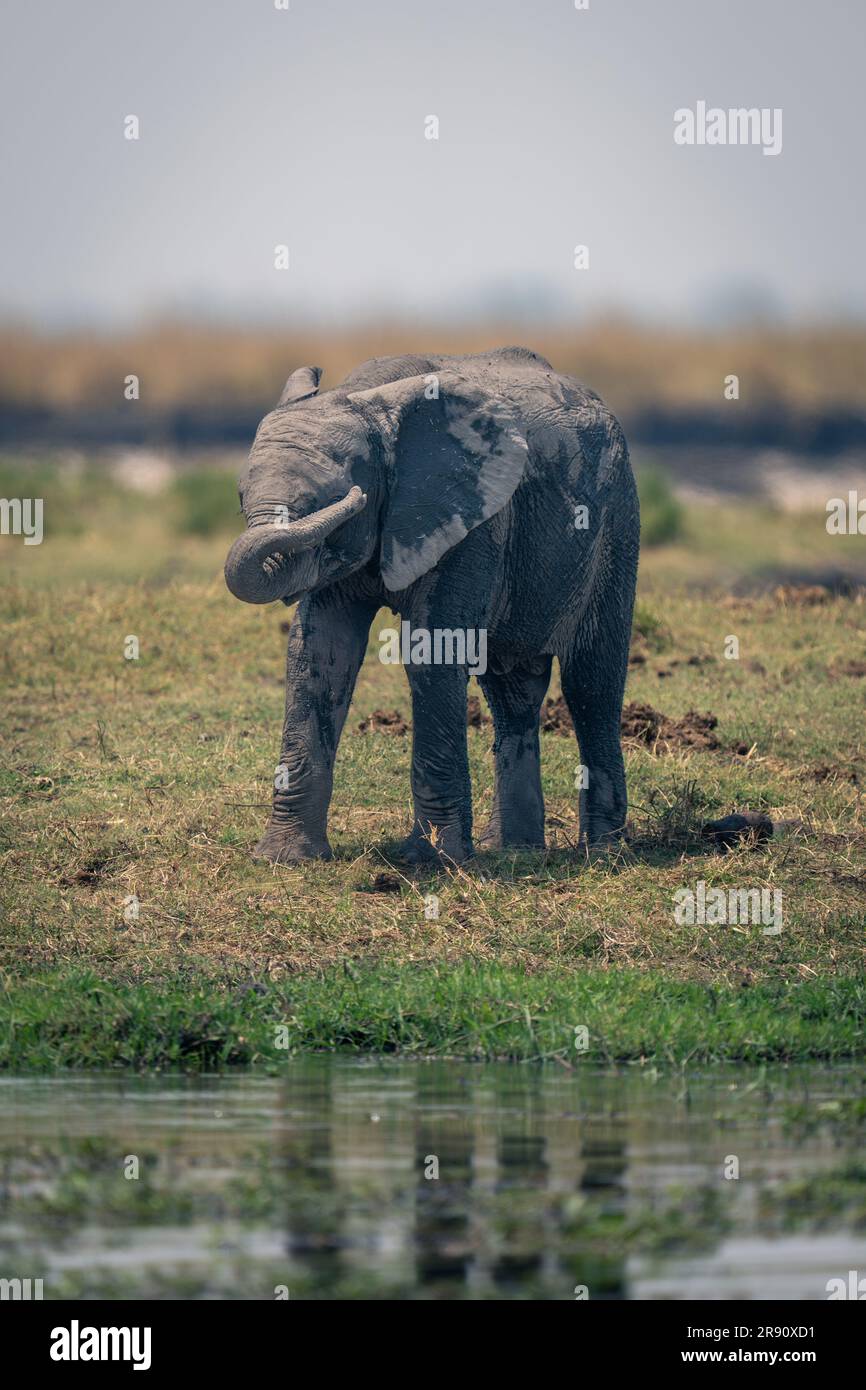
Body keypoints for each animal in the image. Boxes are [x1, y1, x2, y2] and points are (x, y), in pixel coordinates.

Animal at [224, 347, 639, 864]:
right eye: (241, 498)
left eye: (331, 500)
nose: (355, 497)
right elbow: (319, 656)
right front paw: (285, 858)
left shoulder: (472, 520)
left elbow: (433, 653)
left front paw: (432, 862)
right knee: (512, 690)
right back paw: (514, 850)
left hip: (617, 521)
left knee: (592, 682)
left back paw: (603, 852)